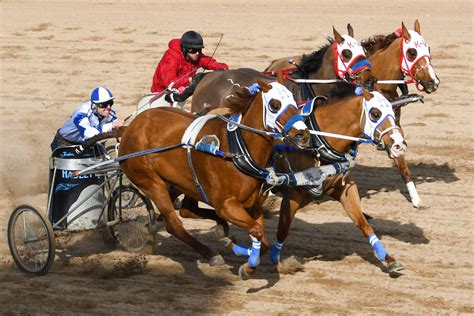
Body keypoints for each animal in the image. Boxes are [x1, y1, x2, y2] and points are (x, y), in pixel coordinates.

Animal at [118, 79, 312, 278]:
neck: (238, 150)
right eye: (274, 105)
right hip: (151, 182)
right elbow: (256, 232)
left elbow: (263, 242)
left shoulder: (255, 206)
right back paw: (211, 254)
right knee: (174, 224)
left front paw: (243, 254)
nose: (302, 135)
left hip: (183, 183)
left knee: (185, 210)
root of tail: (131, 127)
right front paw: (246, 264)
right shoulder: (226, 204)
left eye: (295, 102)